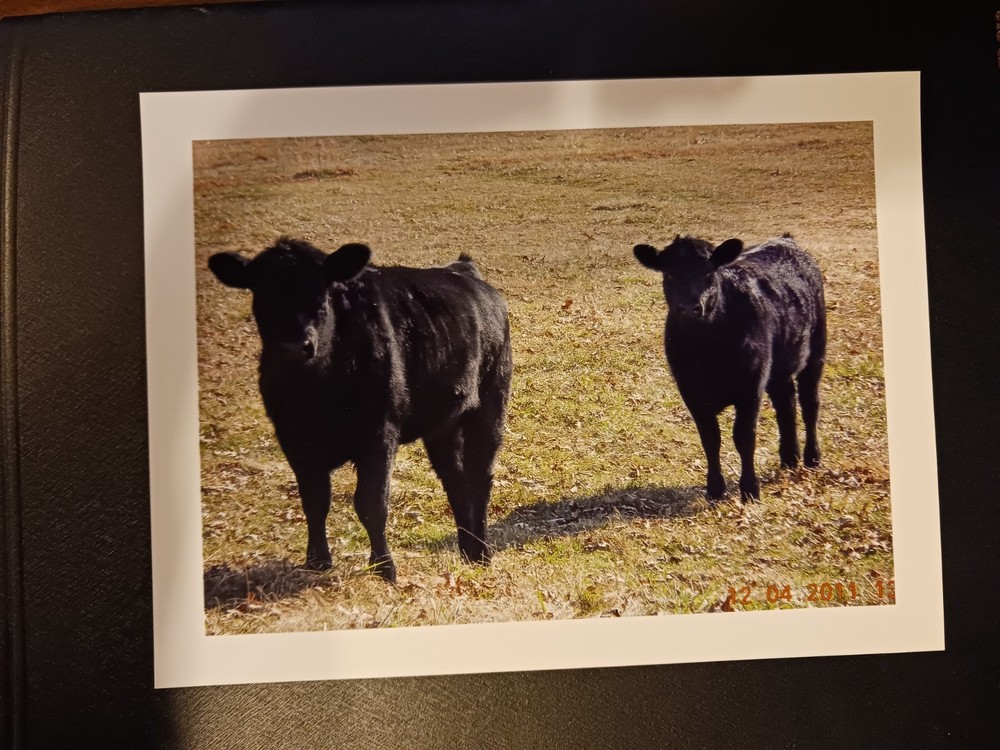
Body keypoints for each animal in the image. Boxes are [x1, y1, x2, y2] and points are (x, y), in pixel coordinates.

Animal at [208, 237, 513, 583]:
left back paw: (482, 553)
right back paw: (467, 551)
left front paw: (384, 568)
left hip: (489, 406)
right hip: (443, 424)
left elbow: (371, 504)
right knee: (455, 480)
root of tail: (462, 269)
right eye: (261, 293)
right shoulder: (293, 440)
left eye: (322, 292)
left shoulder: (379, 435)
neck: (316, 394)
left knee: (479, 478)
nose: (295, 347)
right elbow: (314, 501)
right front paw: (317, 561)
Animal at [633, 233, 826, 502]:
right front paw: (715, 489)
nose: (689, 307)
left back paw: (811, 457)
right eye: (668, 274)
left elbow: (743, 437)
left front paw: (750, 489)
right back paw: (789, 457)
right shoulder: (690, 391)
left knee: (810, 404)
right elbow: (710, 438)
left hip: (816, 351)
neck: (708, 352)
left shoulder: (751, 386)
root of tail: (784, 240)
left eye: (709, 272)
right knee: (786, 402)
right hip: (779, 367)